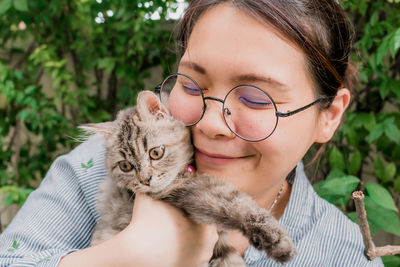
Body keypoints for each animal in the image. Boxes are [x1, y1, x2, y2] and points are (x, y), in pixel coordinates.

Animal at [83, 91, 296, 266]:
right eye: (125, 166)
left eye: (156, 153)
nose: (145, 180)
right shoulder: (191, 190)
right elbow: (238, 205)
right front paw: (277, 241)